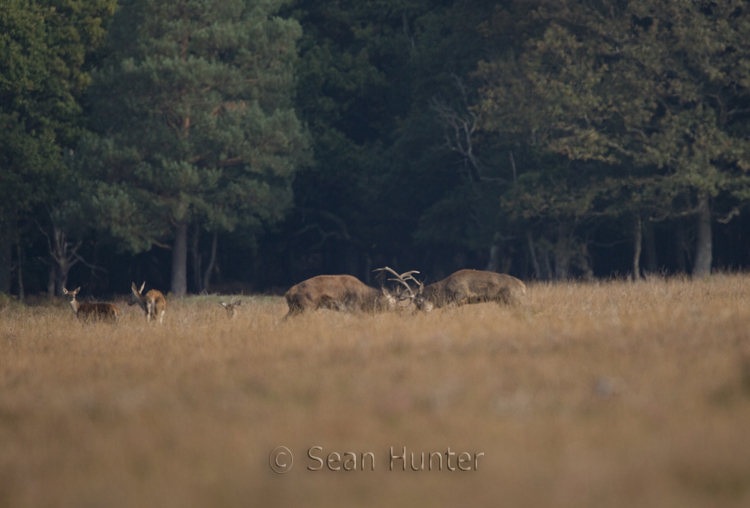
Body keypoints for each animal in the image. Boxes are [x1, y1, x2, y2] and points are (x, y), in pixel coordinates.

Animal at [283, 268, 417, 319]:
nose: (401, 313)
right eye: (392, 304)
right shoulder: (353, 307)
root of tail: (288, 293)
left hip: (294, 308)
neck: (365, 298)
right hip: (307, 307)